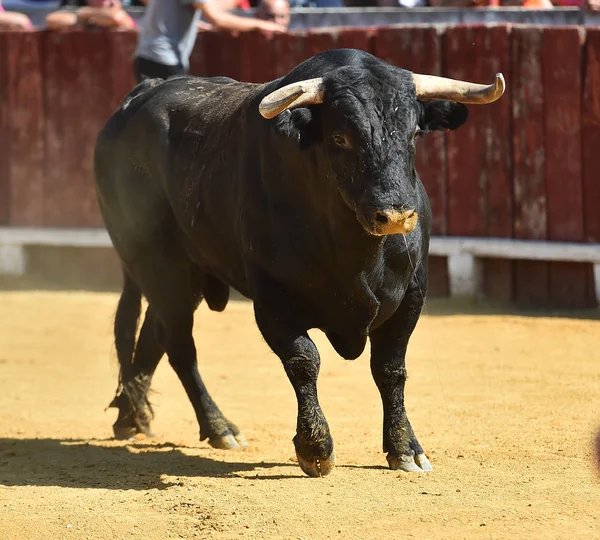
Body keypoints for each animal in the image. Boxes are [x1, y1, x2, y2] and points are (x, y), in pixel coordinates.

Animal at [95, 48, 506, 474]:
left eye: (412, 134)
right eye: (340, 137)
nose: (395, 215)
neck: (354, 249)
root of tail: (140, 96)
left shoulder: (412, 292)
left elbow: (390, 368)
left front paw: (405, 447)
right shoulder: (273, 298)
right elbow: (303, 360)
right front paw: (315, 447)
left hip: (181, 275)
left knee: (155, 335)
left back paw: (132, 416)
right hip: (158, 266)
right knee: (179, 345)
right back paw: (218, 427)